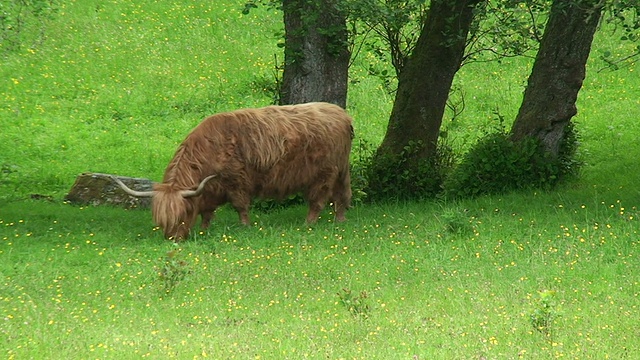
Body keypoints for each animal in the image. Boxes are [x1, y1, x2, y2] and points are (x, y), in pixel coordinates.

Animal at [115, 101, 356, 240]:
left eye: (182, 215)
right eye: (161, 219)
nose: (173, 239)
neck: (208, 150)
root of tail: (342, 114)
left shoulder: (237, 180)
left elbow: (241, 206)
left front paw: (245, 226)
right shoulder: (210, 189)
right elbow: (207, 212)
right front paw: (204, 229)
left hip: (324, 173)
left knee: (318, 200)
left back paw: (308, 224)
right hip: (341, 170)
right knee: (342, 195)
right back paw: (340, 220)